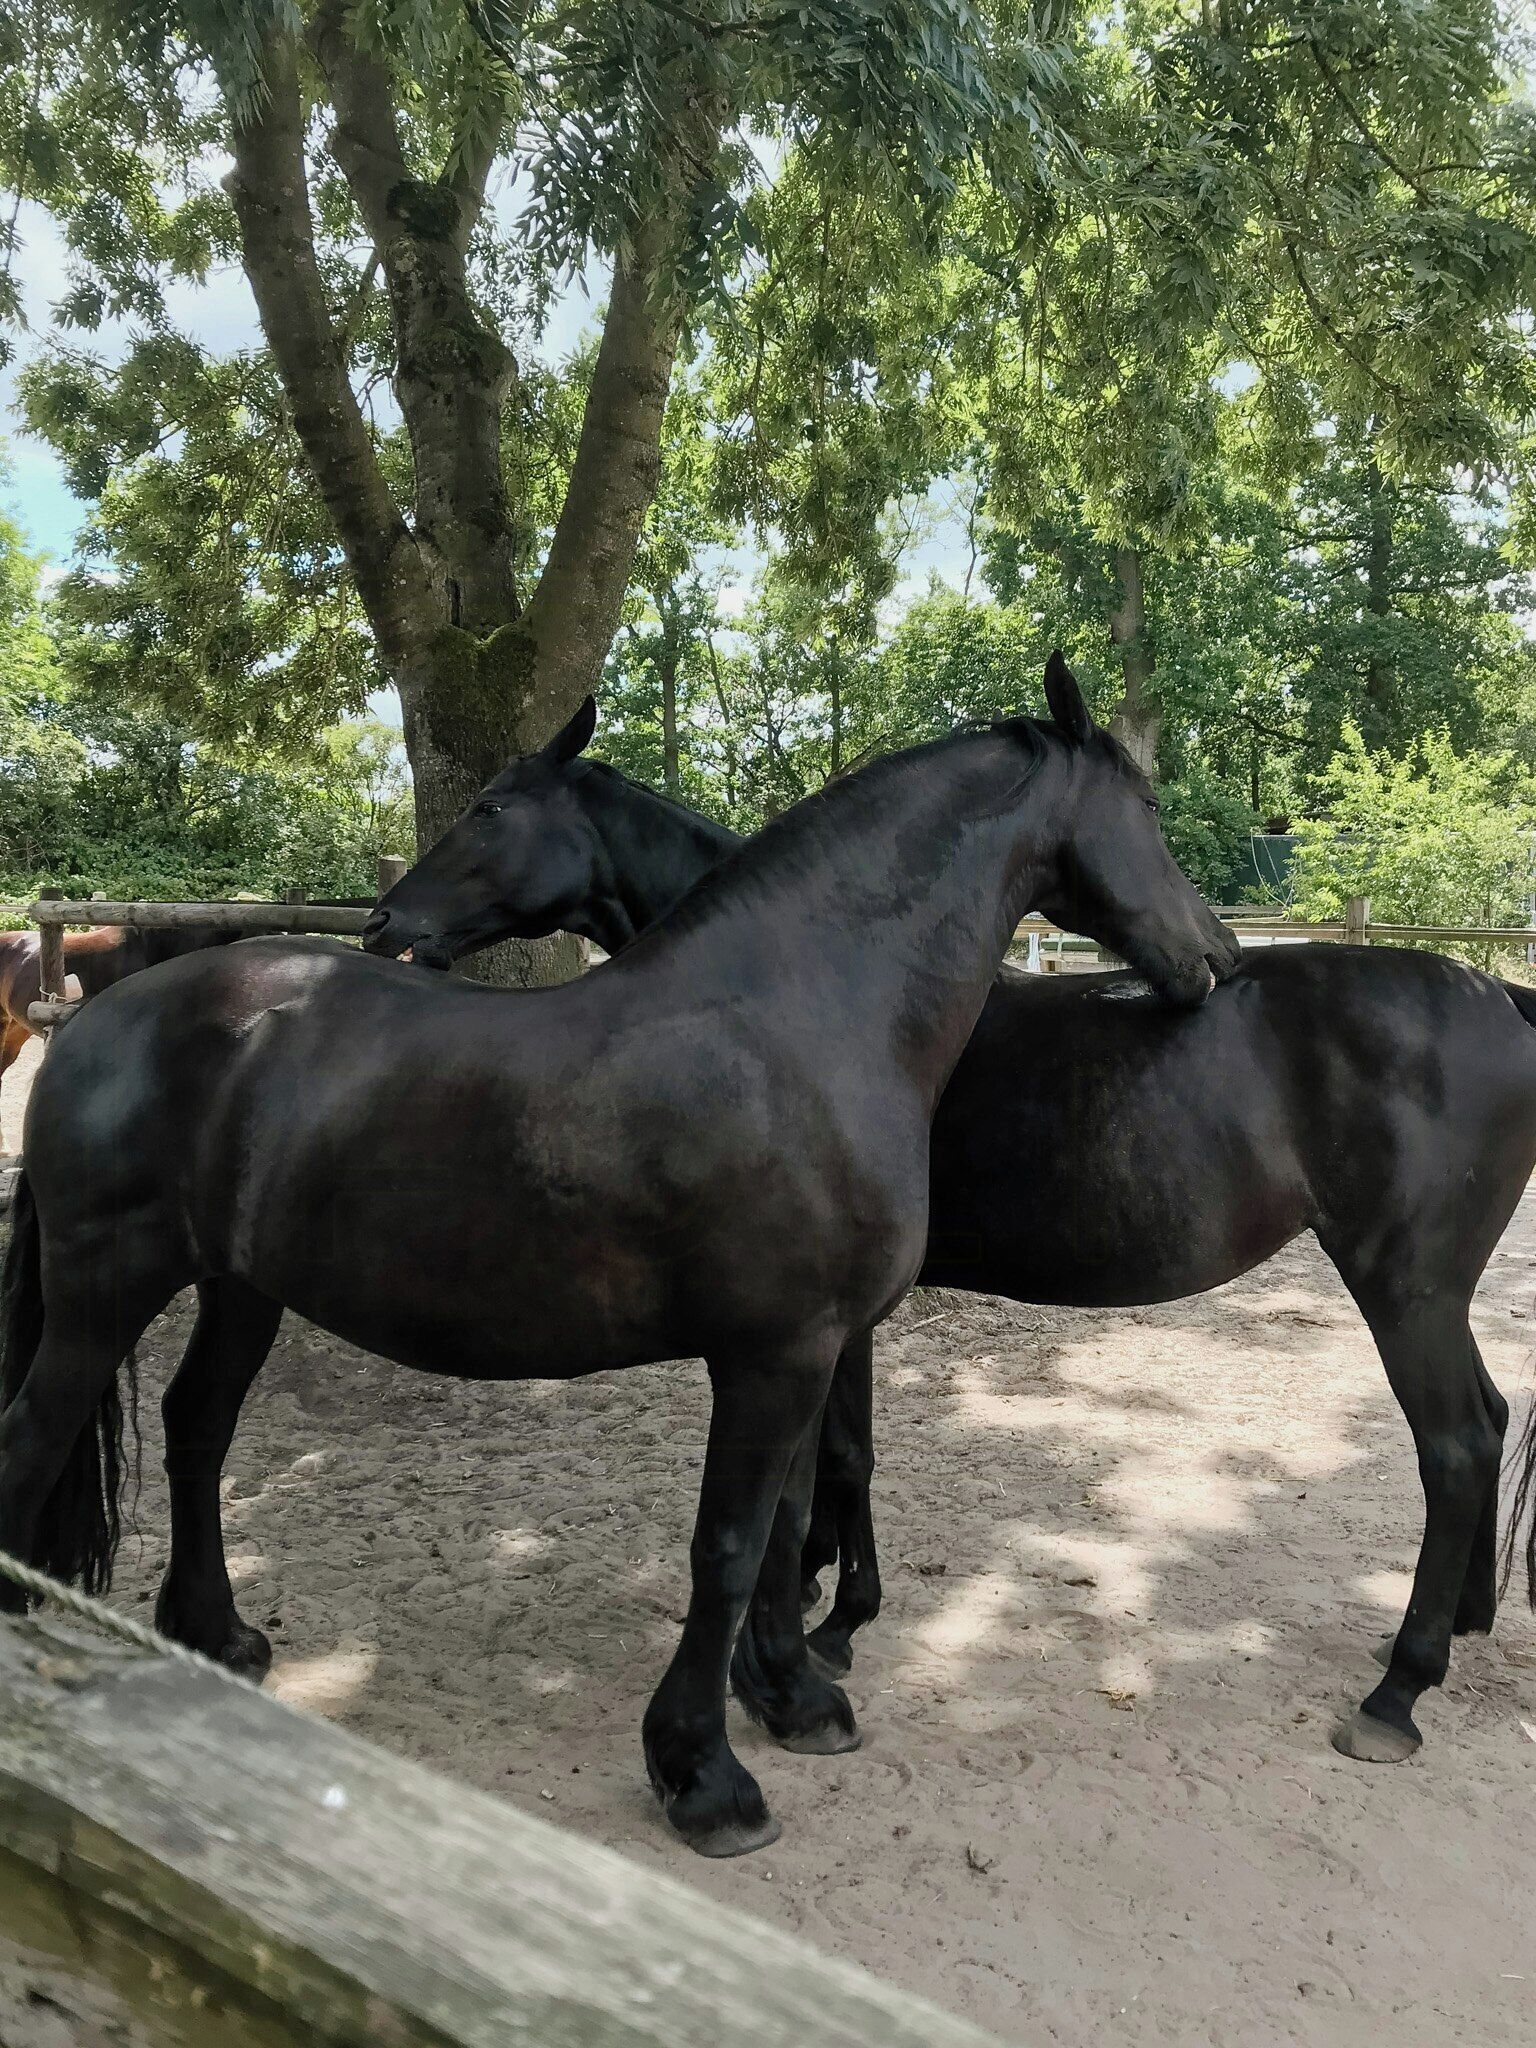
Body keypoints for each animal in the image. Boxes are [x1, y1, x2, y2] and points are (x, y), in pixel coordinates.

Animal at [0, 656, 1234, 1857]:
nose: (1215, 956)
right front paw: (706, 1774)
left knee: (196, 1426)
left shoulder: (815, 1347)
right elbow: (730, 1545)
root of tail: (95, 1018)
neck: (799, 1021)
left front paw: (793, 1696)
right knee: (34, 1437)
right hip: (105, 1290)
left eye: (495, 810)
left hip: (240, 1288)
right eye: (1147, 806)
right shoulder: (775, 1356)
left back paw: (215, 1634)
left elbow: (788, 1525)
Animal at [367, 688, 1536, 1770]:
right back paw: (1465, 1621)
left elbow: (838, 1458)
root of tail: (1497, 993)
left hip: (1404, 1287)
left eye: (491, 806)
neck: (825, 998)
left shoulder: (832, 1317)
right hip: (1437, 1294)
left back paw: (1399, 1688)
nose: (384, 924)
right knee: (1489, 1413)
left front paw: (824, 1627)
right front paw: (822, 1602)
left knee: (1457, 1442)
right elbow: (836, 1458)